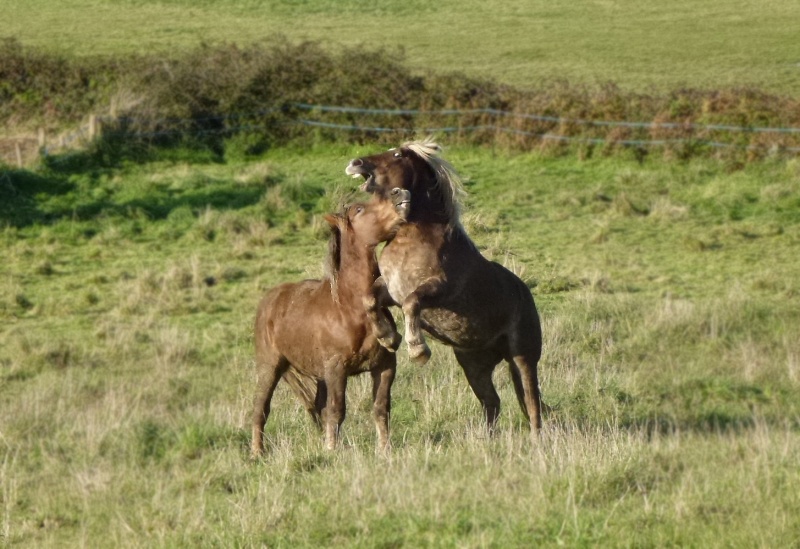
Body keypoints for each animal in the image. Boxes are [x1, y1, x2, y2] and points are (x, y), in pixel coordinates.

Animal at [252, 188, 412, 454]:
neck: (349, 309)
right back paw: (257, 452)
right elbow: (336, 411)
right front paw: (331, 450)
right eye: (359, 209)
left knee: (317, 406)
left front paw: (384, 450)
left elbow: (381, 408)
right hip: (270, 367)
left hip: (317, 375)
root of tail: (268, 301)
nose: (400, 195)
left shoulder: (385, 365)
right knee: (260, 409)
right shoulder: (337, 369)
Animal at [344, 141, 544, 432]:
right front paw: (387, 338)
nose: (355, 163)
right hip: (474, 364)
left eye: (397, 154)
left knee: (532, 404)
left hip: (523, 357)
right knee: (492, 402)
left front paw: (417, 350)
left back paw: (536, 438)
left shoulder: (439, 289)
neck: (415, 238)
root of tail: (525, 293)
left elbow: (412, 304)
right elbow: (370, 299)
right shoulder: (390, 289)